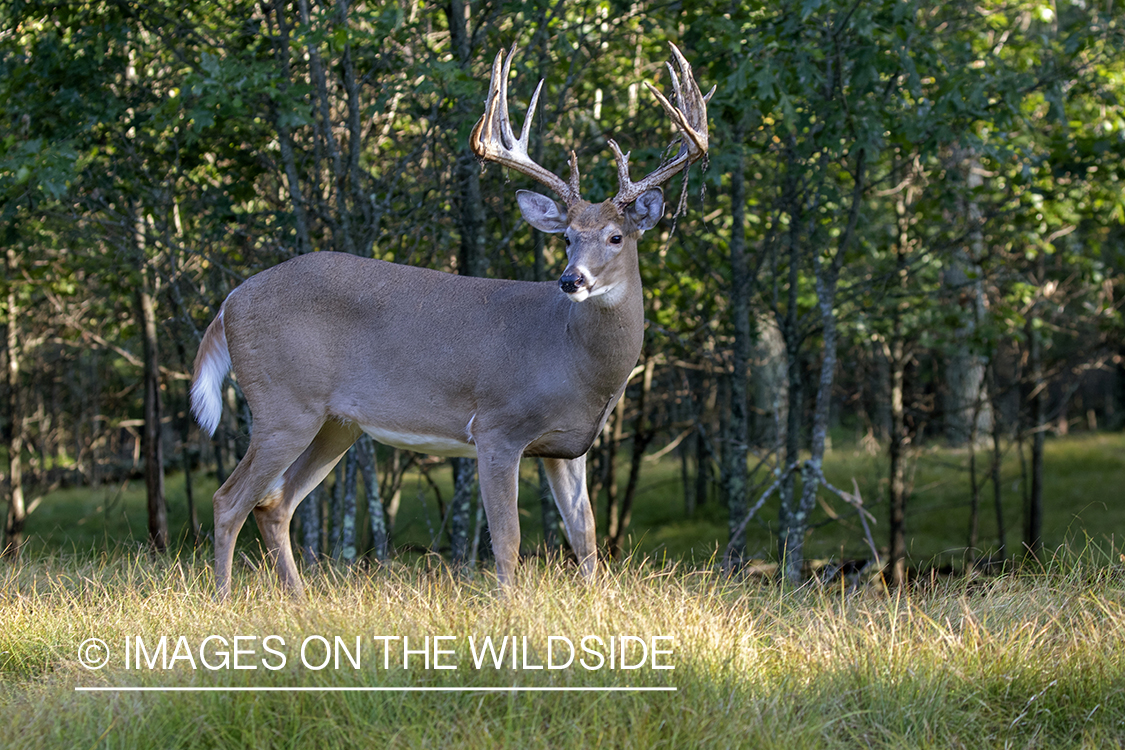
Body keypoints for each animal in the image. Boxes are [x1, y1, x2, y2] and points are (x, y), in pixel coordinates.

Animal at [187, 44, 706, 602]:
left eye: (615, 237)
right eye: (567, 237)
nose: (572, 279)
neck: (577, 364)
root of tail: (229, 302)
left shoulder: (568, 447)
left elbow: (584, 535)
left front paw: (590, 604)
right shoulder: (498, 426)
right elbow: (507, 538)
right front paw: (509, 608)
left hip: (335, 423)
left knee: (273, 504)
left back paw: (299, 603)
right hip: (283, 403)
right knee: (228, 499)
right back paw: (223, 600)